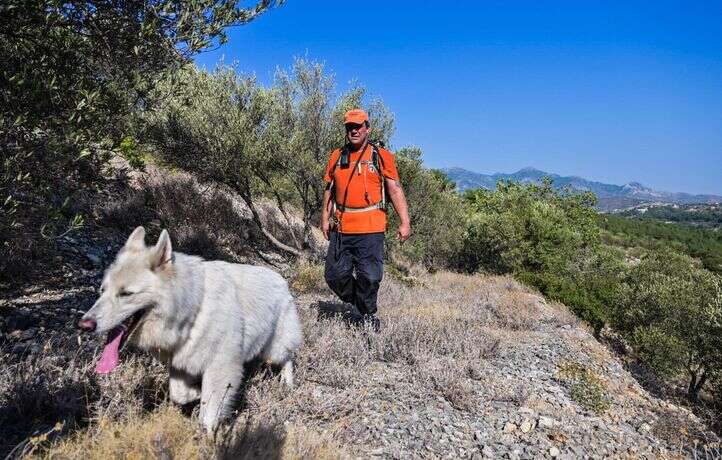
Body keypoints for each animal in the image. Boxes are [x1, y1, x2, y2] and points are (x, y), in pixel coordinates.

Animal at [79, 226, 300, 432]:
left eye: (126, 294)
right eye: (102, 291)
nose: (83, 325)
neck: (194, 307)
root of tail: (281, 278)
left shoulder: (219, 366)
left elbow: (208, 412)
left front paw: (208, 437)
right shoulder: (180, 363)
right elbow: (179, 394)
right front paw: (196, 393)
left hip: (276, 348)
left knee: (287, 359)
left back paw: (287, 384)